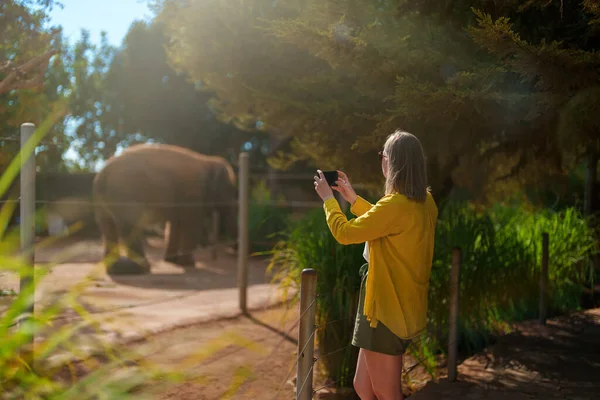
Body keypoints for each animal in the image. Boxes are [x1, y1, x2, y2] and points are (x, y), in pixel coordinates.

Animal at [91, 144, 237, 276]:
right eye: (231, 190)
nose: (231, 250)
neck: (207, 161)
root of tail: (101, 175)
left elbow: (175, 224)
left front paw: (172, 260)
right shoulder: (193, 193)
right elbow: (191, 224)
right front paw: (188, 263)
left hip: (105, 203)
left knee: (108, 227)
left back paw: (114, 268)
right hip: (125, 197)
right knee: (130, 226)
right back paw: (141, 269)